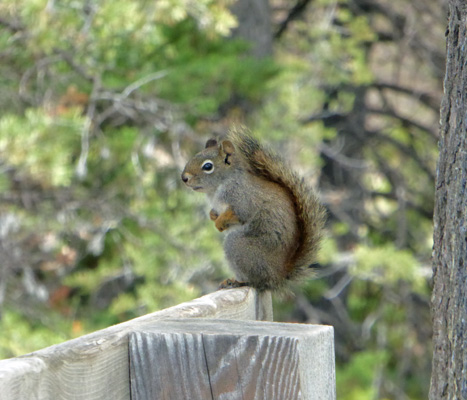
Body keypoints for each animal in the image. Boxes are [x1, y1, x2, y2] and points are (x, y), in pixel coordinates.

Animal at [181, 130, 328, 292]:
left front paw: (219, 223)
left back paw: (238, 282)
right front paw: (213, 215)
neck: (218, 187)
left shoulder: (243, 198)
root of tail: (278, 276)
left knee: (257, 281)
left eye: (208, 166)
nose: (184, 178)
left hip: (239, 247)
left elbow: (240, 214)